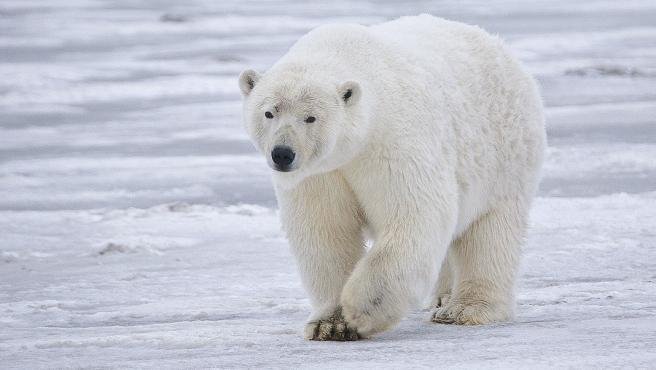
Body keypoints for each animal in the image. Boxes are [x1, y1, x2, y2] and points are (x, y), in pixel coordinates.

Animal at [238, 15, 544, 342]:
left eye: (311, 117)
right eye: (269, 112)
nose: (283, 154)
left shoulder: (393, 141)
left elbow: (414, 214)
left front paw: (361, 310)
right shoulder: (320, 174)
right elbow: (325, 231)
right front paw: (329, 324)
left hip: (504, 157)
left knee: (490, 233)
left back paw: (465, 309)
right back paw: (442, 298)